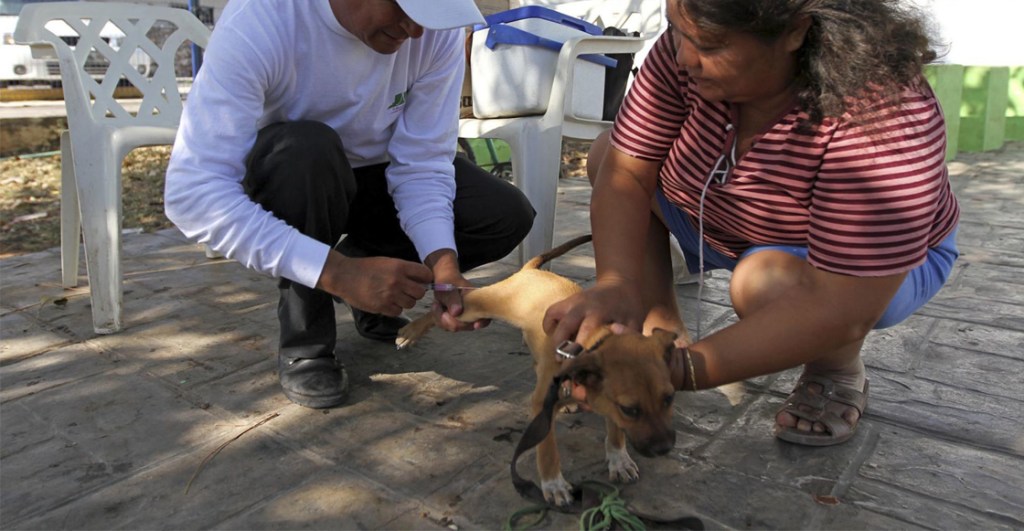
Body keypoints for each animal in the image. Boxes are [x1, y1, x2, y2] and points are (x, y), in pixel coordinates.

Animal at [397, 237, 679, 507]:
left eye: (669, 399)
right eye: (630, 410)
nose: (666, 448)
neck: (592, 341)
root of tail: (530, 270)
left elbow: (615, 429)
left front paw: (619, 458)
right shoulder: (543, 408)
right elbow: (547, 448)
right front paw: (553, 484)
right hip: (475, 308)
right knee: (440, 312)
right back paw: (410, 332)